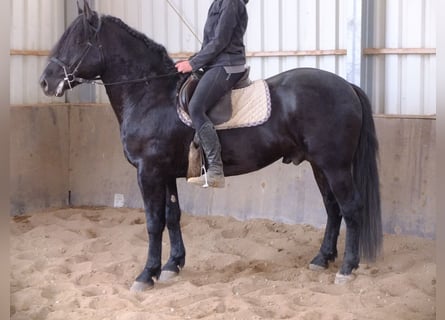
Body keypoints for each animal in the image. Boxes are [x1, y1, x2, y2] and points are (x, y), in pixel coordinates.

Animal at [40, 0, 382, 290]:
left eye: (76, 42)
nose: (45, 82)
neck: (150, 95)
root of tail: (346, 86)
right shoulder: (165, 173)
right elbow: (172, 216)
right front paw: (172, 266)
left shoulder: (148, 172)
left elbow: (153, 222)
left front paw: (146, 275)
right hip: (319, 165)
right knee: (333, 208)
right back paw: (321, 259)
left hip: (335, 165)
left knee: (351, 208)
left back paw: (347, 269)